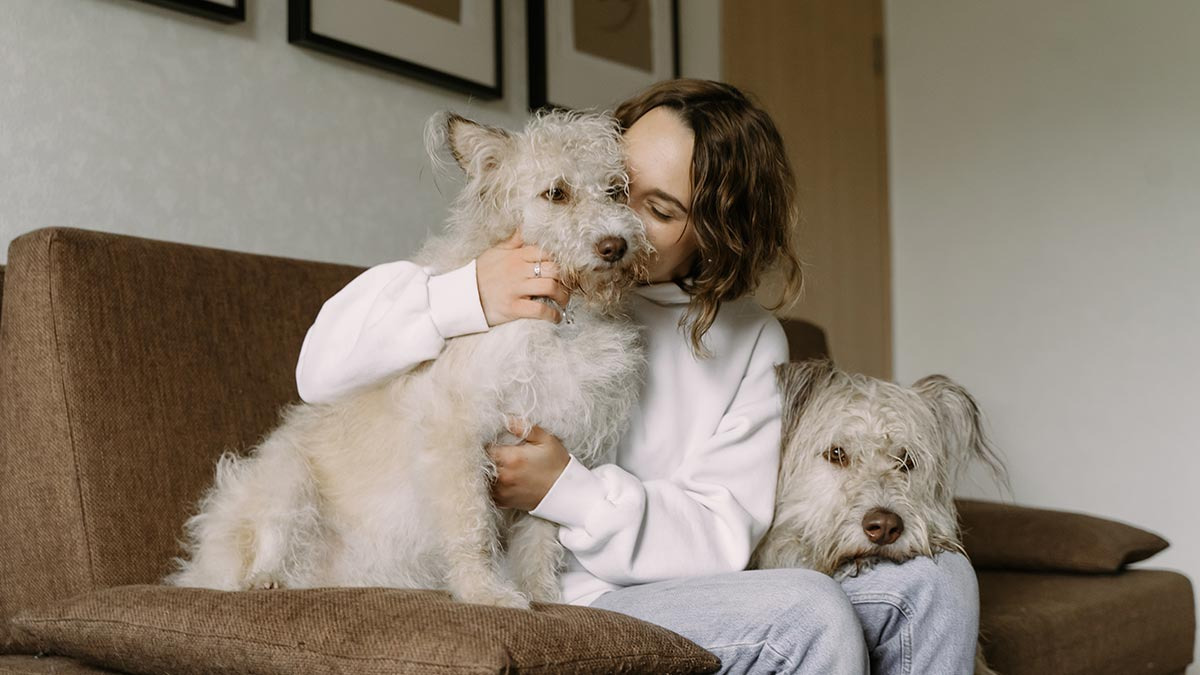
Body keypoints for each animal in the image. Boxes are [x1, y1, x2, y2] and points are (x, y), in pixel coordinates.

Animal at [166, 107, 648, 607]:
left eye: (616, 190)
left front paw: (543, 598)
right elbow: (470, 527)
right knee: (266, 537)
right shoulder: (454, 436)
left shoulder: (554, 448)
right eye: (556, 193)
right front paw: (483, 593)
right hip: (284, 473)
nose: (616, 246)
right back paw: (264, 578)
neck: (562, 316)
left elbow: (538, 542)